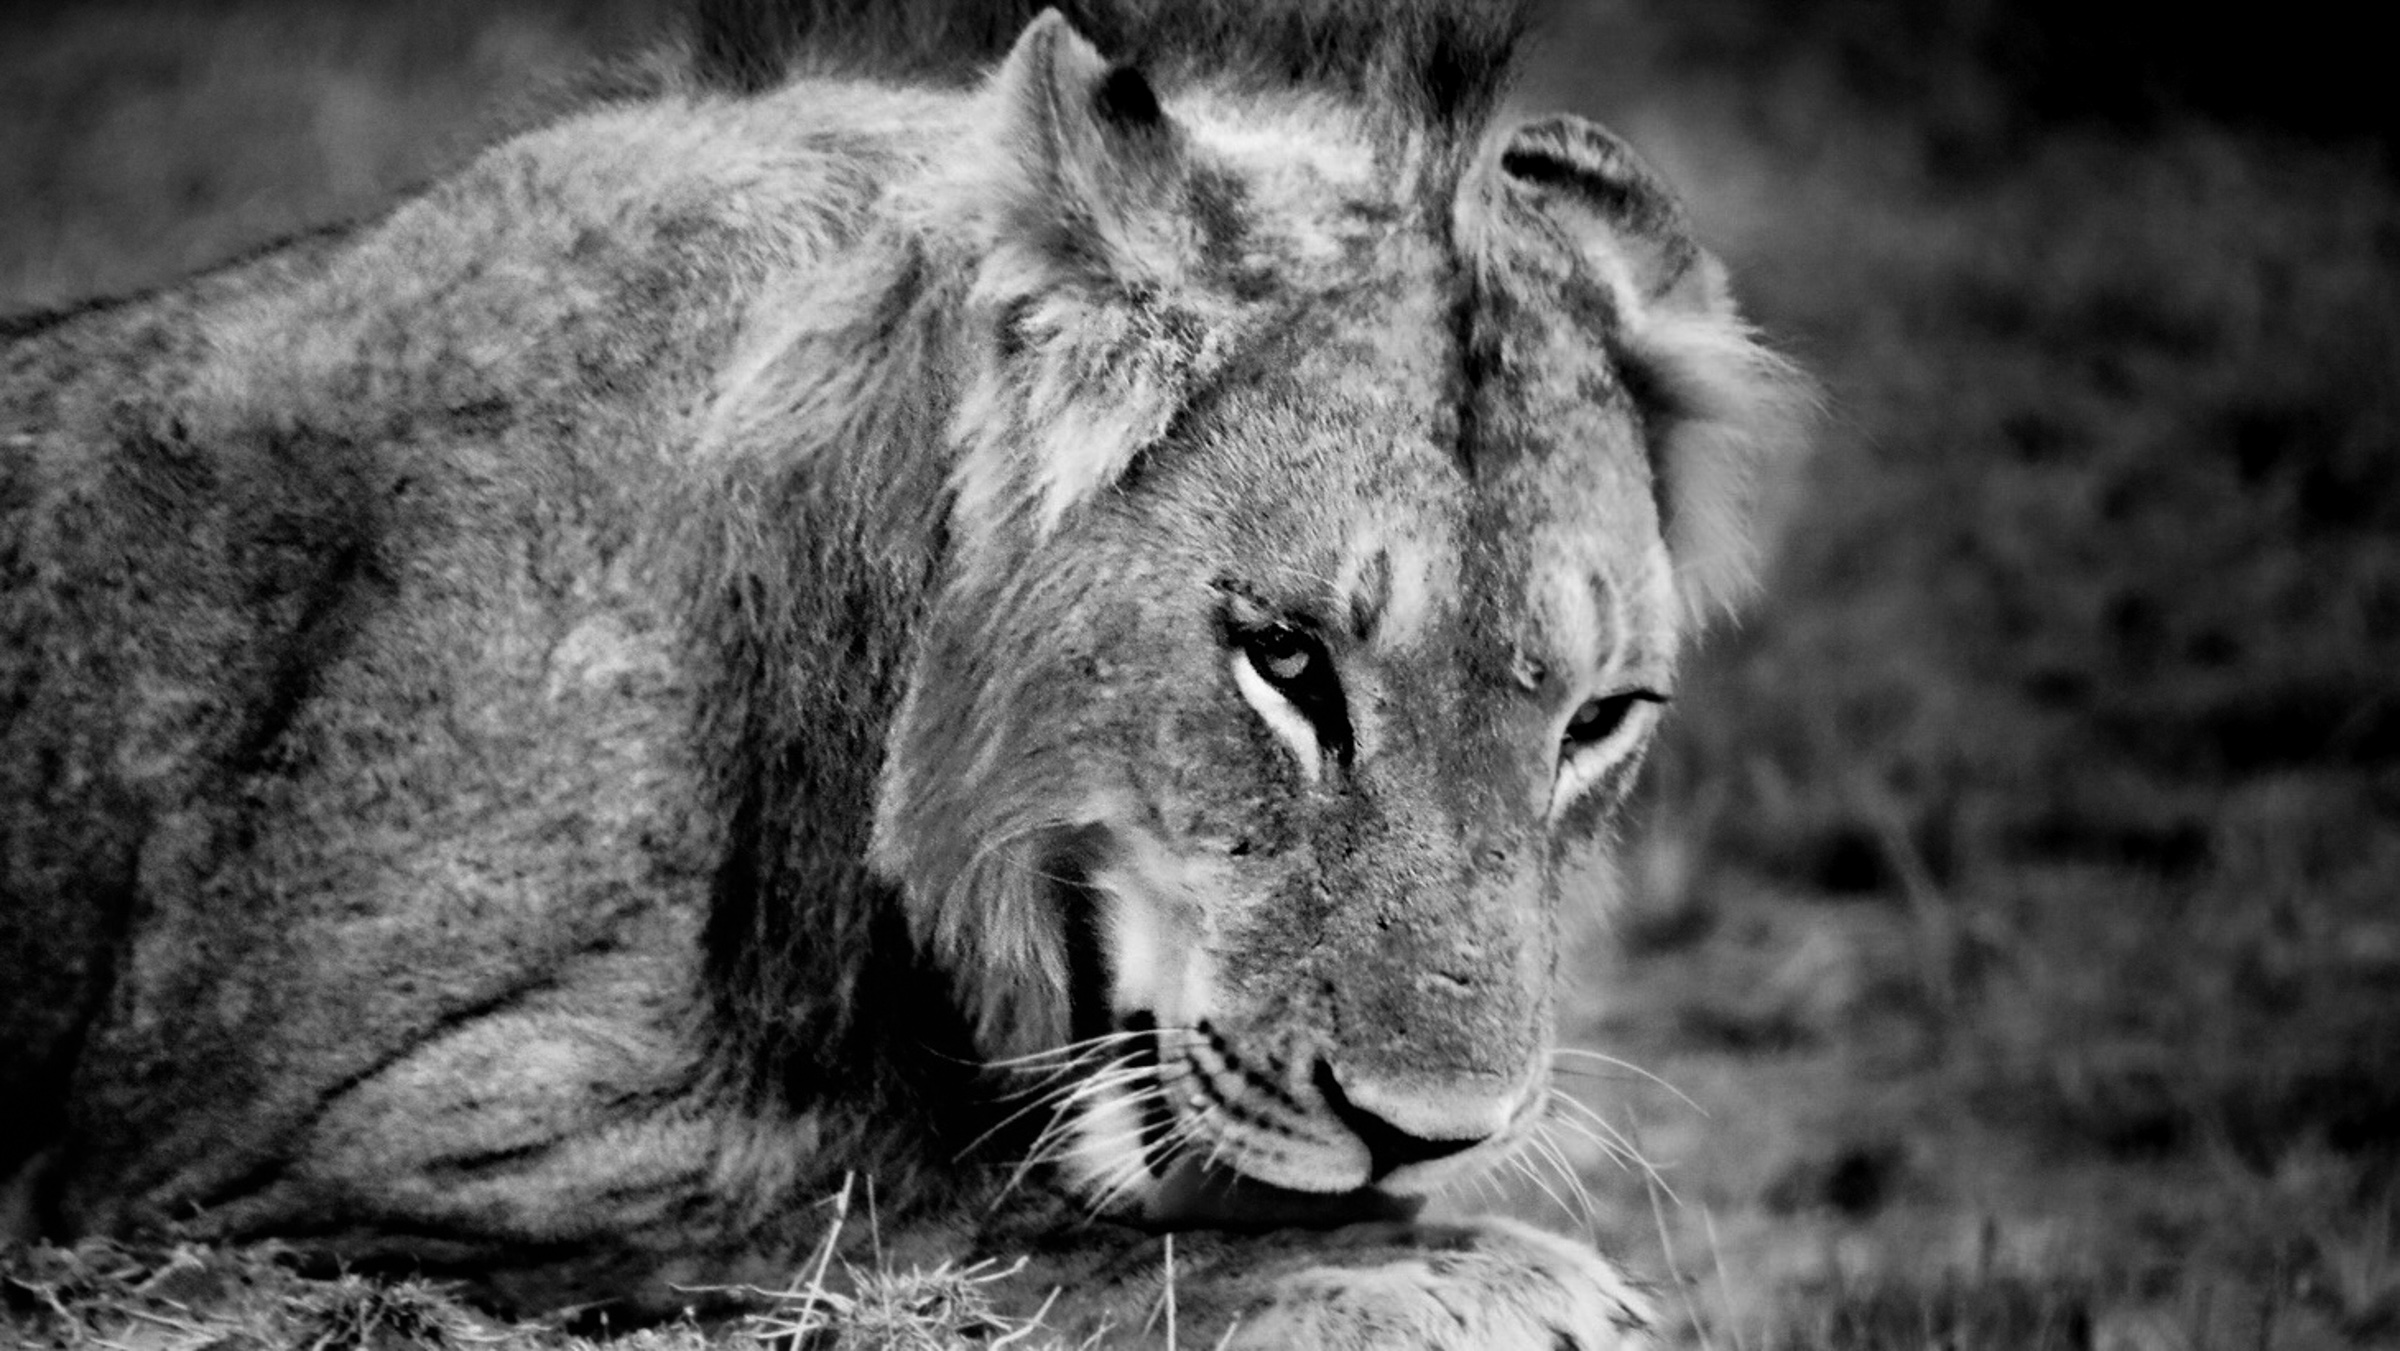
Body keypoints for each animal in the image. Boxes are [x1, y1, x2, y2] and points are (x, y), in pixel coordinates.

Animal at [0, 0, 1807, 1344]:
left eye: (1597, 721)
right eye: (1287, 661)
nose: (1429, 1133)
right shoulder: (323, 1154)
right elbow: (920, 1205)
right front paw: (1466, 1271)